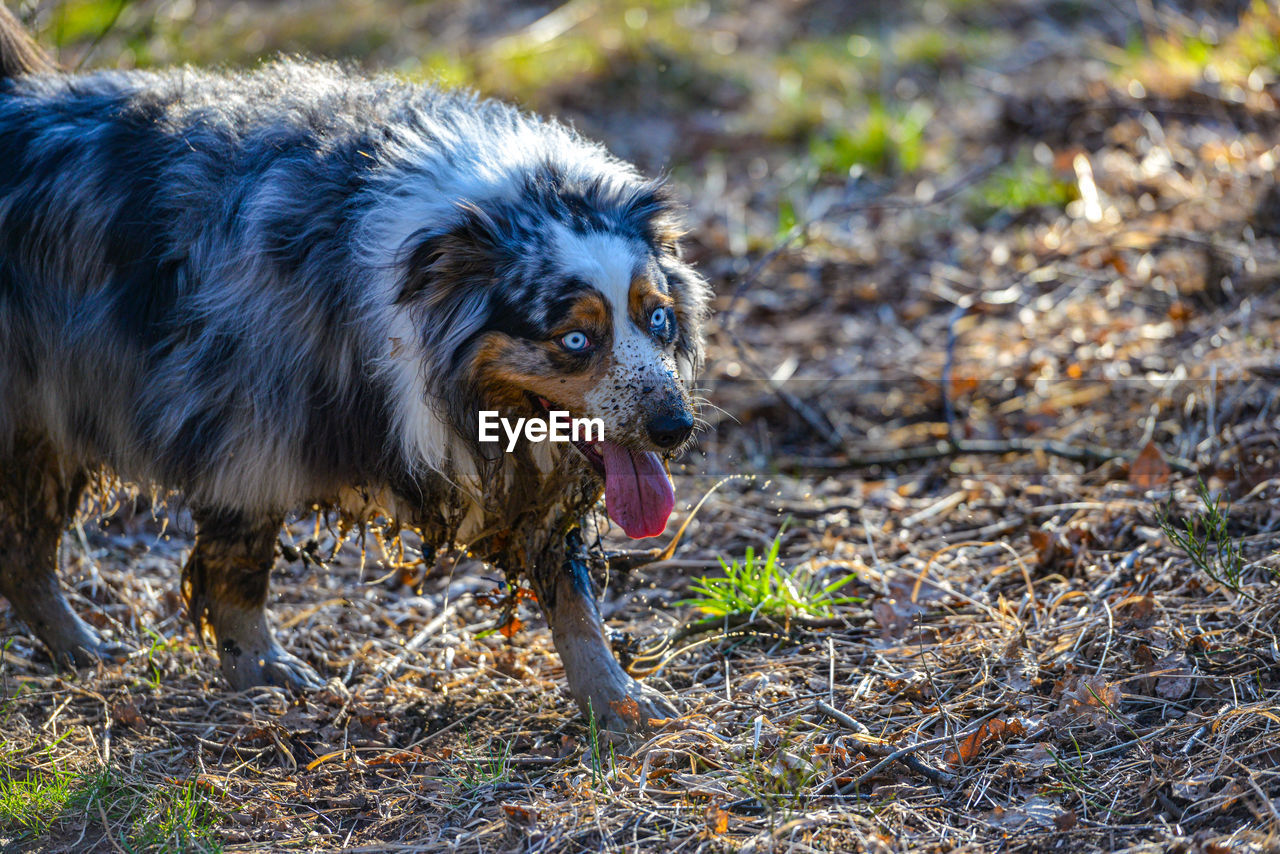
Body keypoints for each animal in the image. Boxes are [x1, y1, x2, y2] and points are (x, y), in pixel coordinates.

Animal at [0, 1, 711, 737]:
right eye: (574, 338)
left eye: (659, 318)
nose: (674, 428)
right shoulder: (247, 418)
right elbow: (239, 563)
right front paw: (261, 673)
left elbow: (571, 591)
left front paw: (618, 697)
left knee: (22, 554)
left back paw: (81, 651)